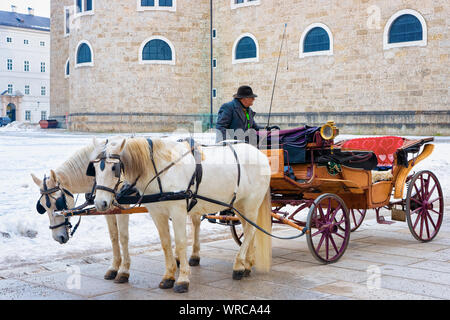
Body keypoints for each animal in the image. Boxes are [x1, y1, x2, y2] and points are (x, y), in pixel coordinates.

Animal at [31, 139, 204, 284]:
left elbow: (123, 237)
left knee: (195, 223)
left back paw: (194, 256)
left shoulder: (123, 208)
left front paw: (124, 270)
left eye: (58, 202)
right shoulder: (107, 207)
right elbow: (114, 237)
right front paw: (114, 267)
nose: (58, 237)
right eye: (42, 207)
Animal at [91, 137, 270, 292]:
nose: (100, 203)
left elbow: (181, 242)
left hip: (251, 204)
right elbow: (165, 243)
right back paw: (247, 264)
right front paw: (169, 276)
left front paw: (183, 279)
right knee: (249, 230)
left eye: (114, 169)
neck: (162, 170)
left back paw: (239, 266)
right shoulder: (157, 213)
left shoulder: (178, 211)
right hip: (239, 205)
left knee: (250, 231)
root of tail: (261, 155)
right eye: (94, 169)